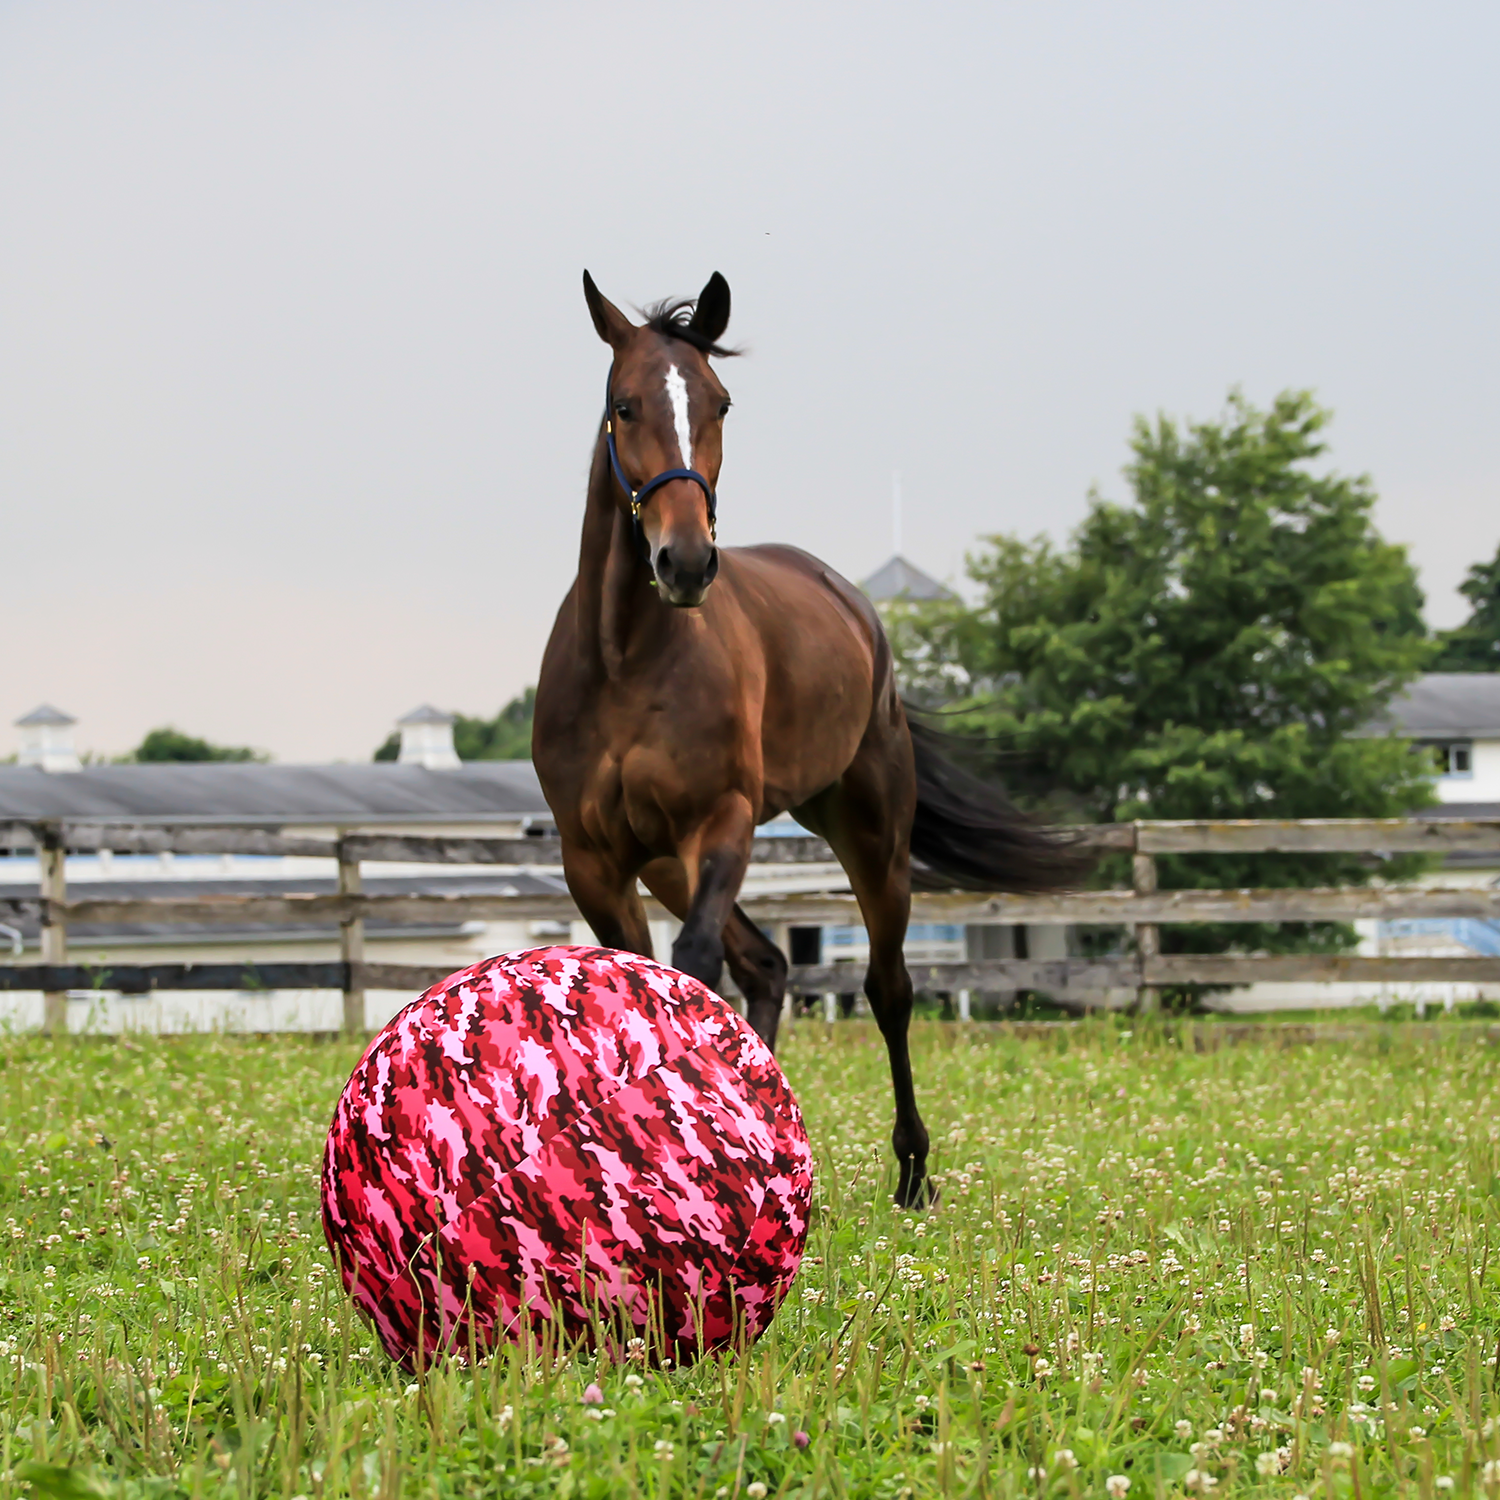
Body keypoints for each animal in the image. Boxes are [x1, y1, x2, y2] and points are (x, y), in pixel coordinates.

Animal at [532, 271, 1087, 1207]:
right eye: (624, 404)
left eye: (720, 402)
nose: (686, 562)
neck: (624, 660)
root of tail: (853, 604)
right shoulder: (595, 858)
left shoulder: (719, 824)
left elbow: (692, 970)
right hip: (666, 863)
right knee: (767, 967)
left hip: (869, 831)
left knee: (887, 987)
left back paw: (911, 1173)